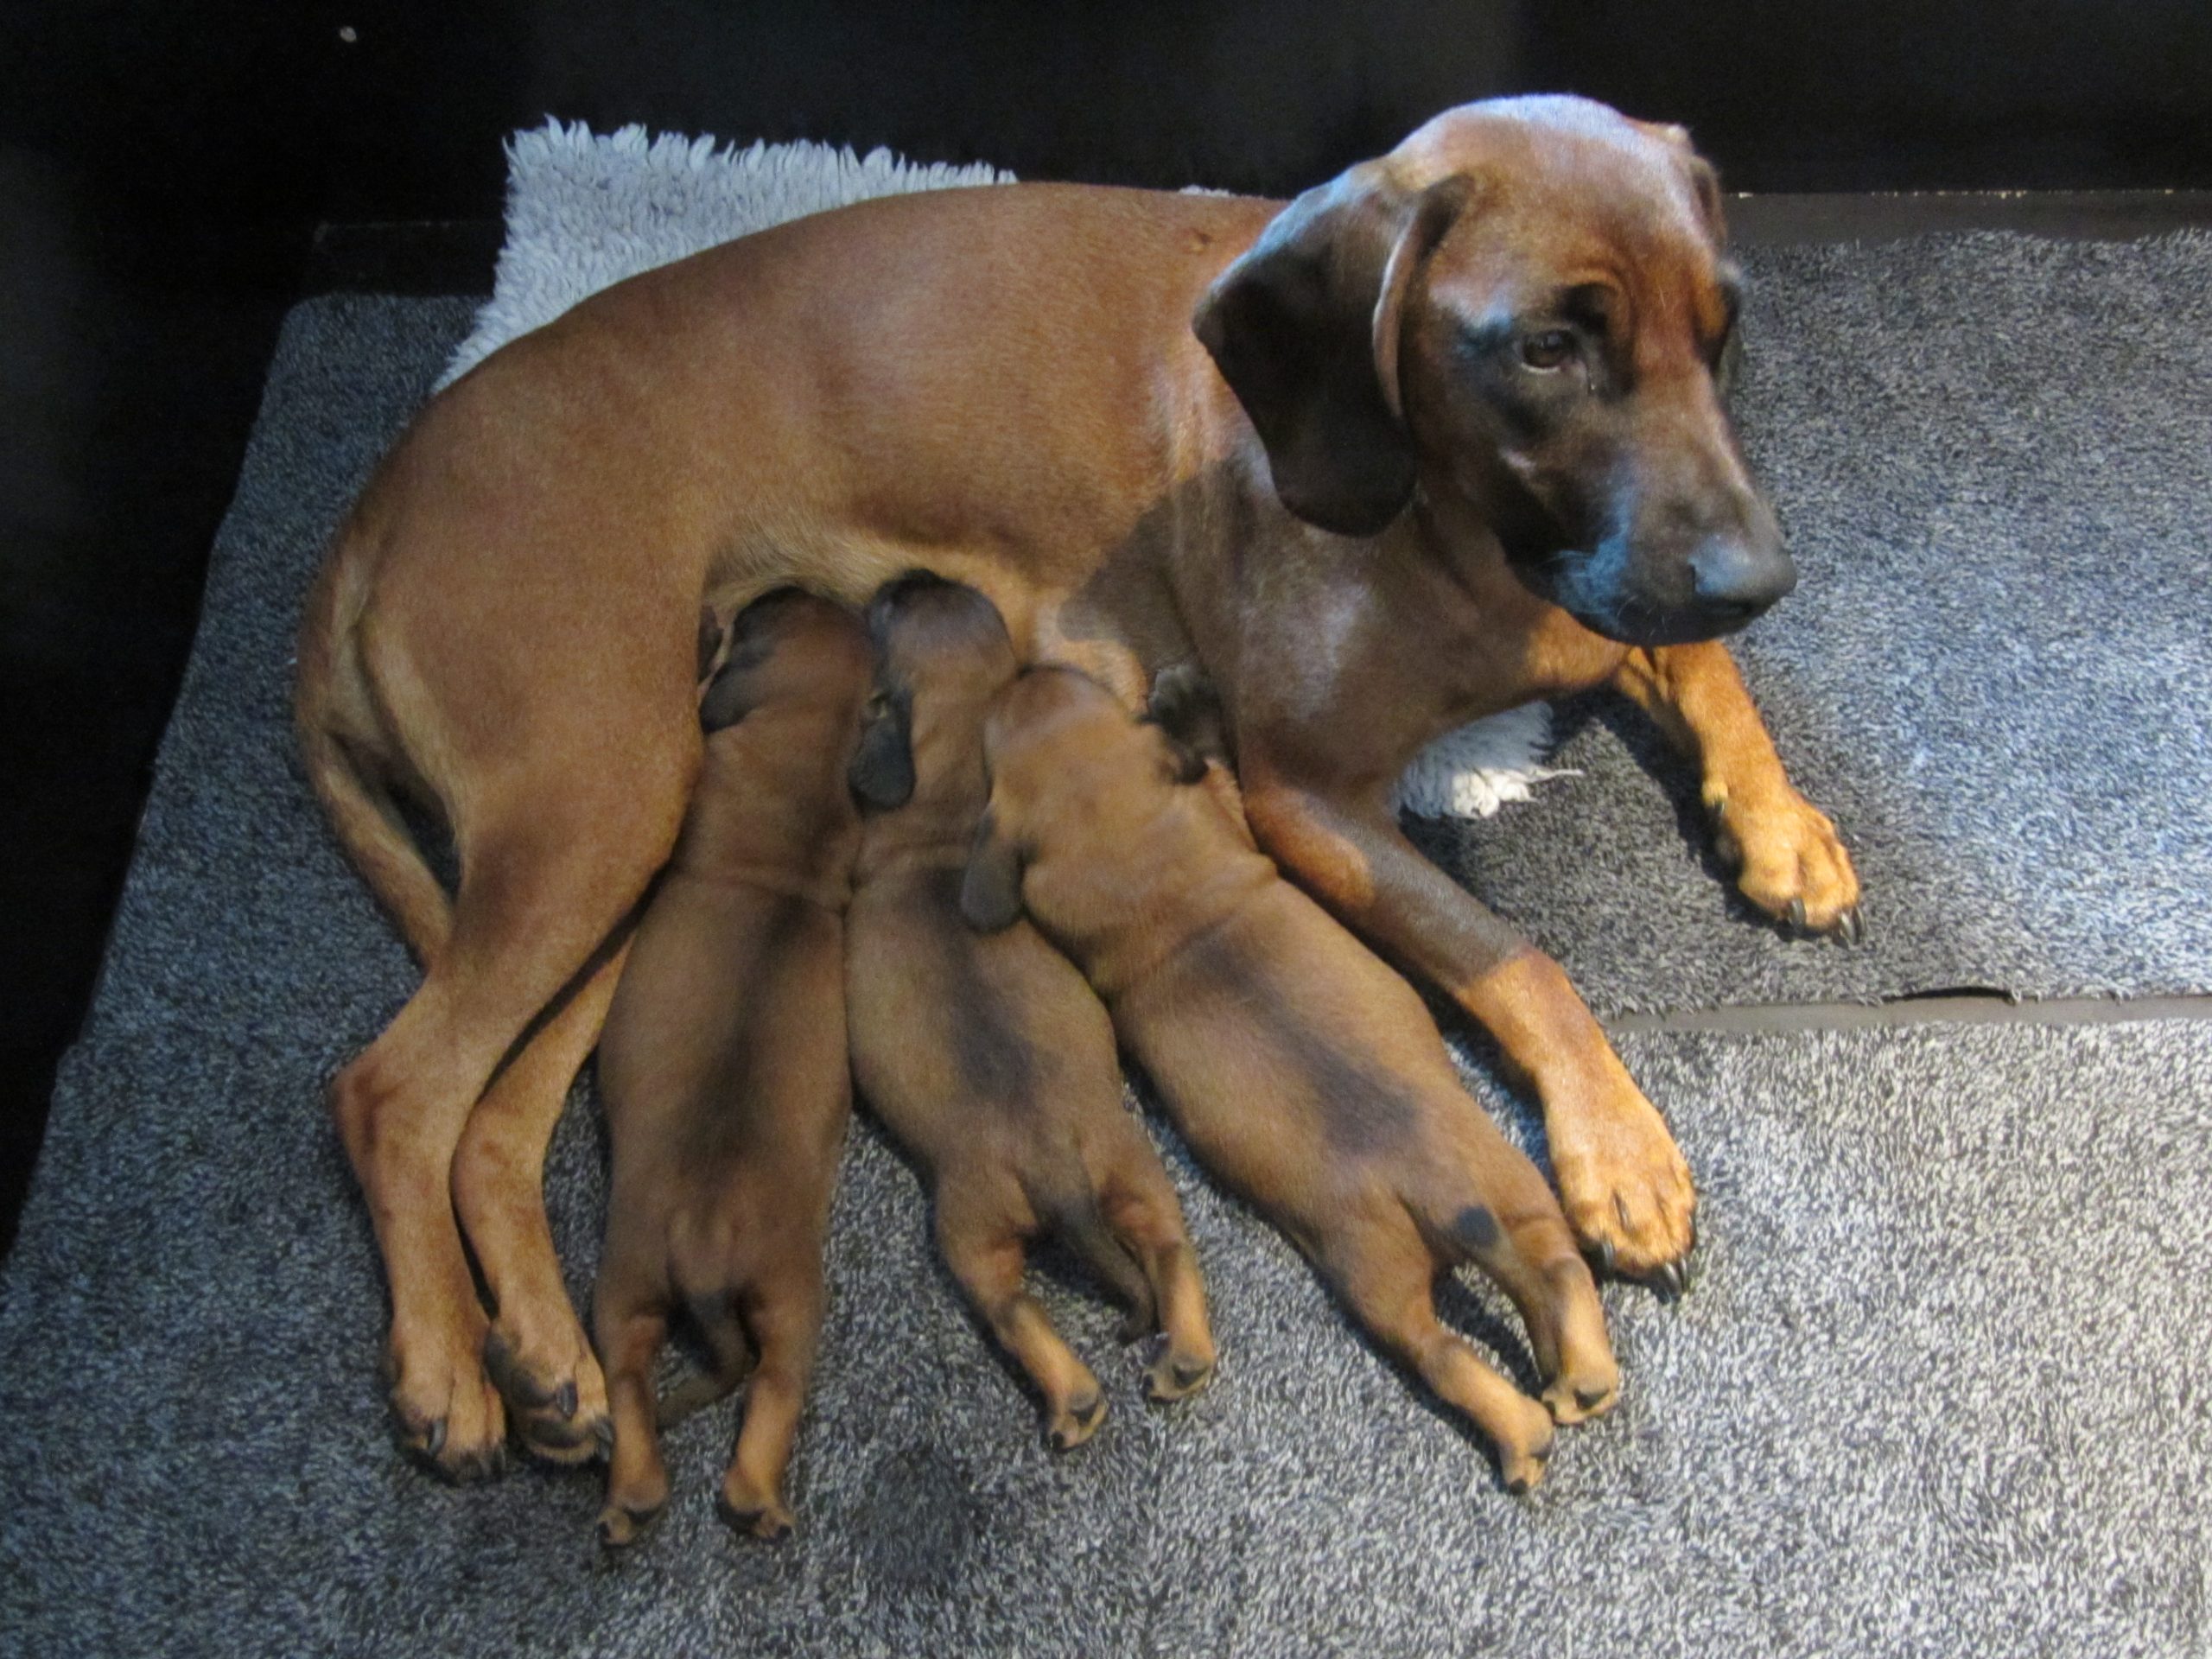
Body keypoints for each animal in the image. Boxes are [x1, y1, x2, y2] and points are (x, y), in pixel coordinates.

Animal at [590, 590, 871, 1544]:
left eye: (768, 613)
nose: (753, 596)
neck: (813, 746)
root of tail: (708, 1235)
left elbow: (702, 698)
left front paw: (704, 643)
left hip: (634, 1281)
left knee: (633, 1376)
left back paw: (652, 1493)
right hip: (774, 1295)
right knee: (771, 1384)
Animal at [843, 573, 1215, 1449]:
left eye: (892, 612)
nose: (907, 577)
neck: (947, 802)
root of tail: (1055, 1171)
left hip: (967, 1235)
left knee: (1015, 1314)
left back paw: (1072, 1401)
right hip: (1132, 1168)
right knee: (1171, 1253)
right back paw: (1184, 1354)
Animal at [960, 662, 1619, 1493]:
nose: (1028, 668)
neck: (1145, 867)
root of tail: (1445, 1194)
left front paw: (1181, 701)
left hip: (1419, 1246)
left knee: (1480, 1326)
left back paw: (1544, 1414)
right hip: (1478, 1214)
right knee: (1536, 1285)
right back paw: (1569, 1395)